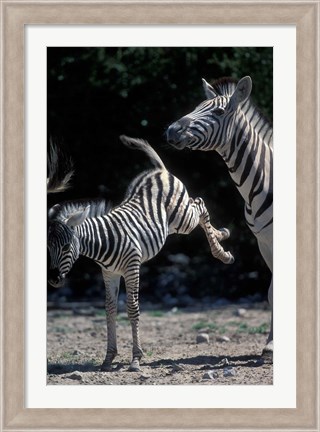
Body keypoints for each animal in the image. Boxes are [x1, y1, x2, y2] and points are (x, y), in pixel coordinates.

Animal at [166, 76, 274, 360]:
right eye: (196, 107)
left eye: (219, 112)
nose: (171, 131)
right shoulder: (264, 241)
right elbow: (272, 293)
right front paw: (270, 345)